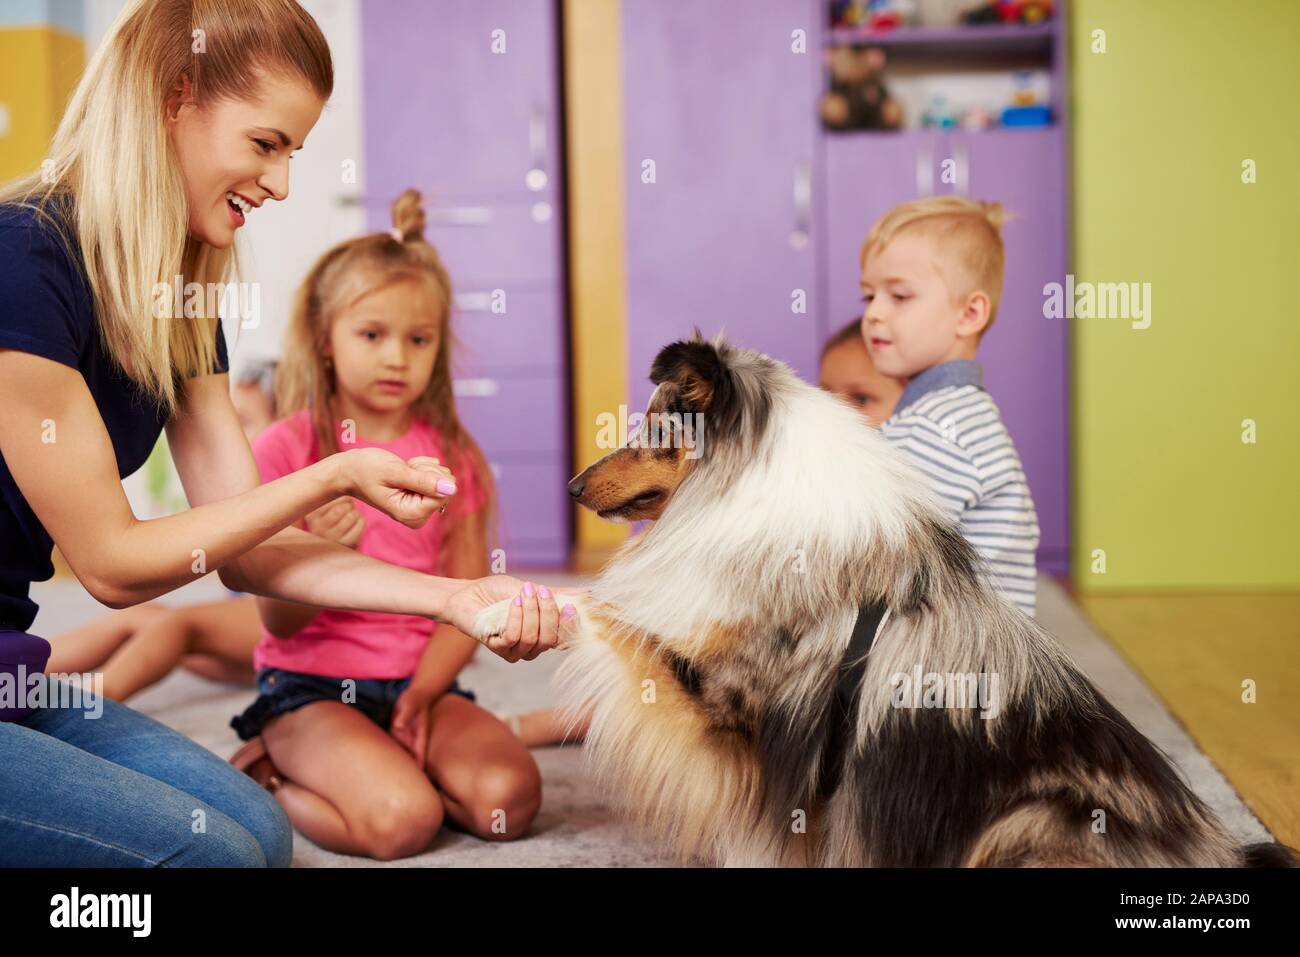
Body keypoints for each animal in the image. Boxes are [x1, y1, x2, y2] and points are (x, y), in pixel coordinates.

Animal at [475, 335, 1289, 868]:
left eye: (654, 427)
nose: (573, 486)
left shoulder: (725, 700)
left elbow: (600, 609)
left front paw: (505, 607)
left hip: (1027, 822)